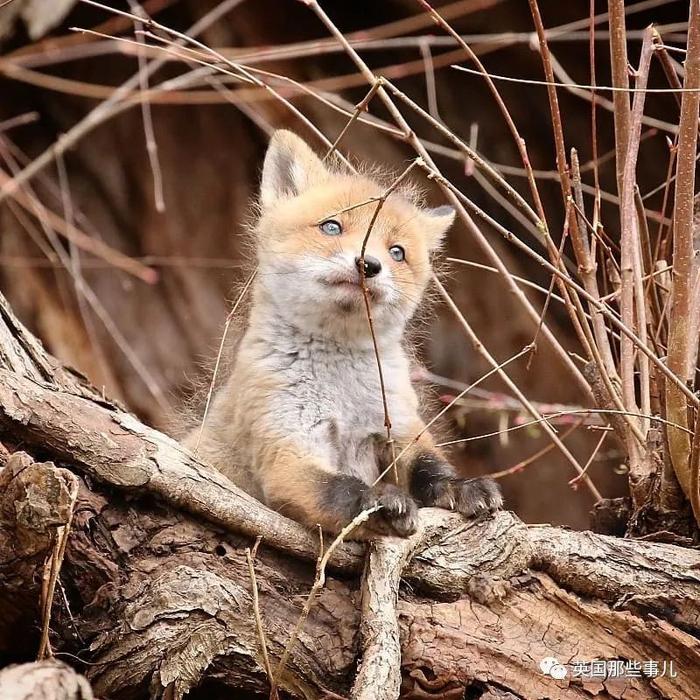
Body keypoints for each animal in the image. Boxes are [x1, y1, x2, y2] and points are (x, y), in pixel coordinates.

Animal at [189, 130, 500, 536]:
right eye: (331, 227)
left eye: (397, 252)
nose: (369, 264)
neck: (343, 391)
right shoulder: (287, 449)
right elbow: (342, 489)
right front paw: (380, 502)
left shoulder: (398, 424)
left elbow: (429, 469)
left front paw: (462, 486)